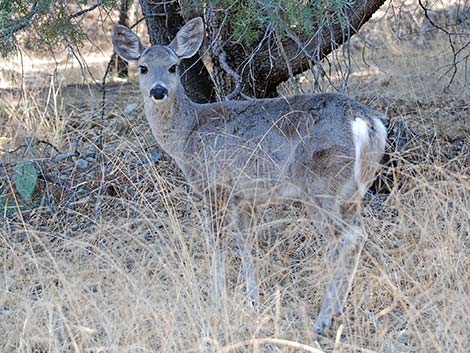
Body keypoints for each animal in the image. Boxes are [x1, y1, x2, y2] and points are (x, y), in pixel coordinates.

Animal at [112, 17, 388, 332]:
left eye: (173, 67)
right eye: (143, 68)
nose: (158, 91)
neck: (187, 134)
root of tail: (368, 122)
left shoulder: (215, 185)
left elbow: (218, 243)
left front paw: (216, 299)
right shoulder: (244, 197)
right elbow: (246, 243)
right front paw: (253, 299)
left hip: (321, 185)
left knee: (345, 239)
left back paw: (323, 319)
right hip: (352, 191)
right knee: (359, 234)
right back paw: (339, 309)